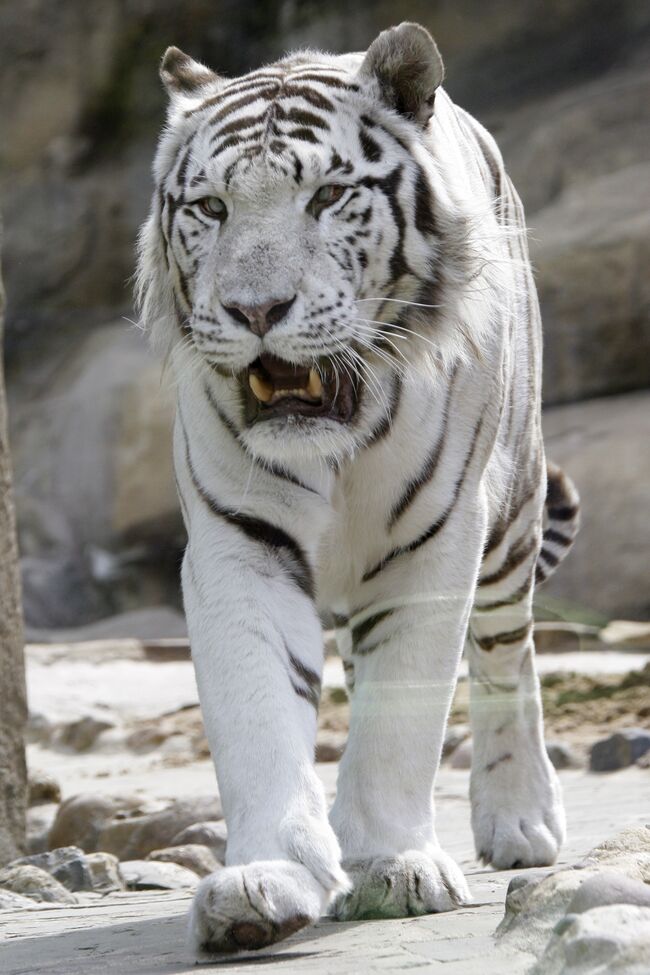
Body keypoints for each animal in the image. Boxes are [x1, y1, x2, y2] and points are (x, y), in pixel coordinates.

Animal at [135, 21, 576, 952]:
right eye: (212, 208)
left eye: (328, 197)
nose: (255, 310)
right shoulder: (239, 544)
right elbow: (259, 708)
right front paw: (263, 881)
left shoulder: (435, 545)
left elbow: (401, 712)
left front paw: (391, 866)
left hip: (512, 517)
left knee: (507, 656)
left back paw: (521, 820)